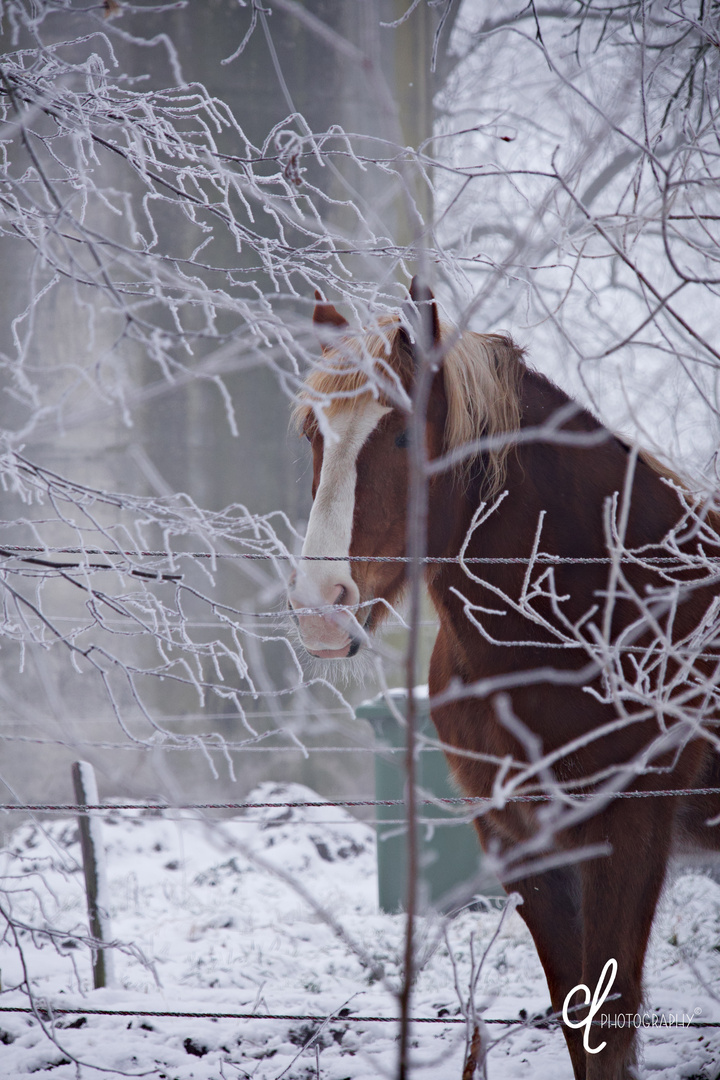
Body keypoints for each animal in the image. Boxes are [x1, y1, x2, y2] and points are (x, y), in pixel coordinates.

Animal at [287, 280, 720, 1080]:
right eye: (314, 438)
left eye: (403, 436)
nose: (319, 609)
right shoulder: (520, 846)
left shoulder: (627, 835)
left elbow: (609, 1025)